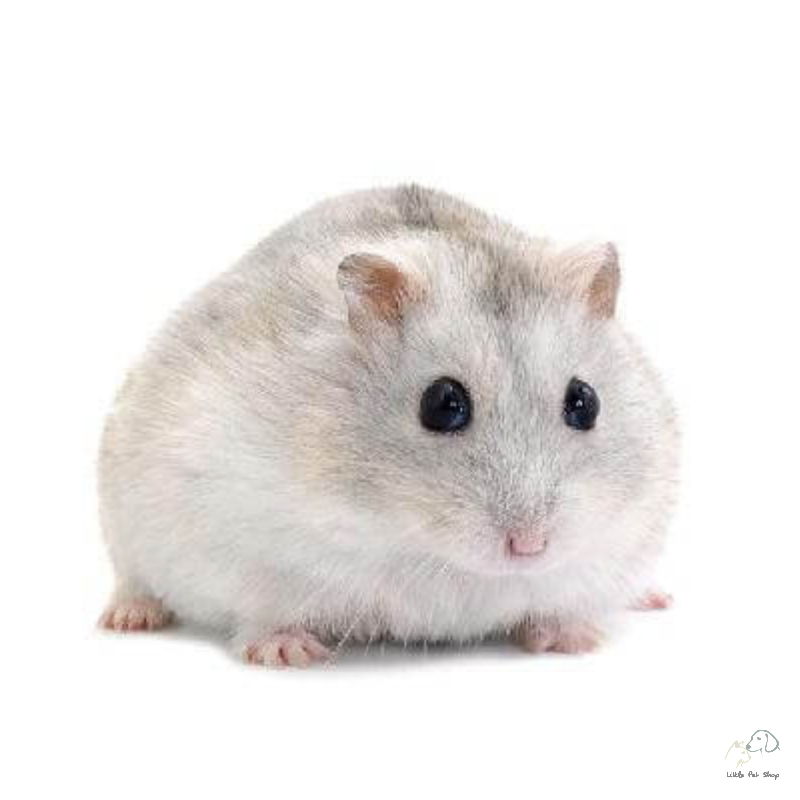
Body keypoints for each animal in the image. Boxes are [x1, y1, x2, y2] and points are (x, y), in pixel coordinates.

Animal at [98, 185, 679, 667]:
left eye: (585, 402)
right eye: (442, 403)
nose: (530, 546)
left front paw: (575, 641)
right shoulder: (245, 543)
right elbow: (265, 612)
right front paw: (288, 654)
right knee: (132, 580)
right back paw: (128, 619)